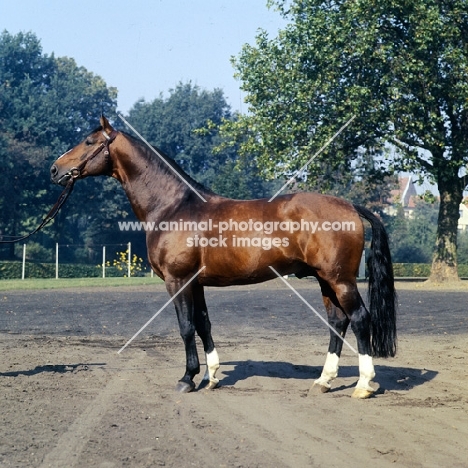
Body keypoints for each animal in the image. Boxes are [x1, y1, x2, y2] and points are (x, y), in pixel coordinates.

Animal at [50, 115, 394, 396]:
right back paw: (323, 381)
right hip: (325, 280)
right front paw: (210, 377)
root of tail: (350, 206)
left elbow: (186, 327)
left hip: (340, 280)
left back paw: (363, 384)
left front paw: (187, 379)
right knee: (337, 321)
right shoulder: (196, 283)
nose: (55, 169)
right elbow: (204, 324)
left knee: (360, 319)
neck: (173, 207)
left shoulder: (178, 281)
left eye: (89, 142)